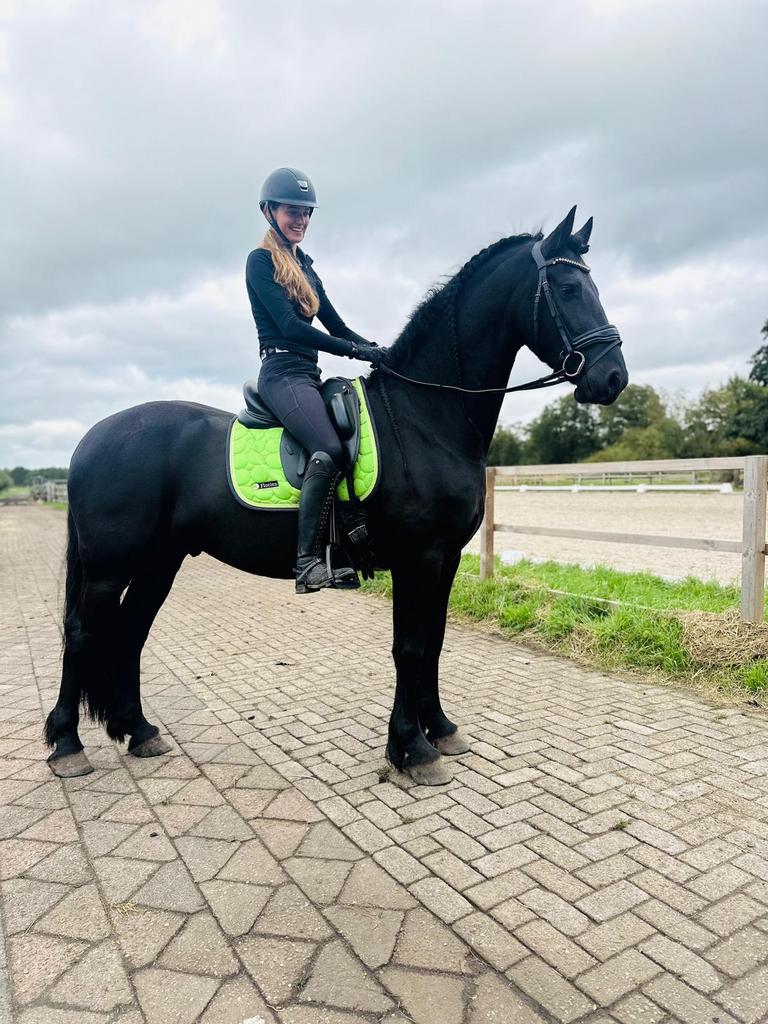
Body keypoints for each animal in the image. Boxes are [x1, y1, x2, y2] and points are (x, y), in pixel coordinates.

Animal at [45, 206, 628, 786]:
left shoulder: (447, 559)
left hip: (159, 561)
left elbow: (435, 641)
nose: (613, 377)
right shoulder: (420, 558)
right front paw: (412, 749)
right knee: (82, 631)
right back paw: (68, 744)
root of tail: (93, 437)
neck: (424, 416)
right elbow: (411, 646)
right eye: (569, 288)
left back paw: (138, 730)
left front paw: (439, 728)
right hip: (109, 567)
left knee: (131, 629)